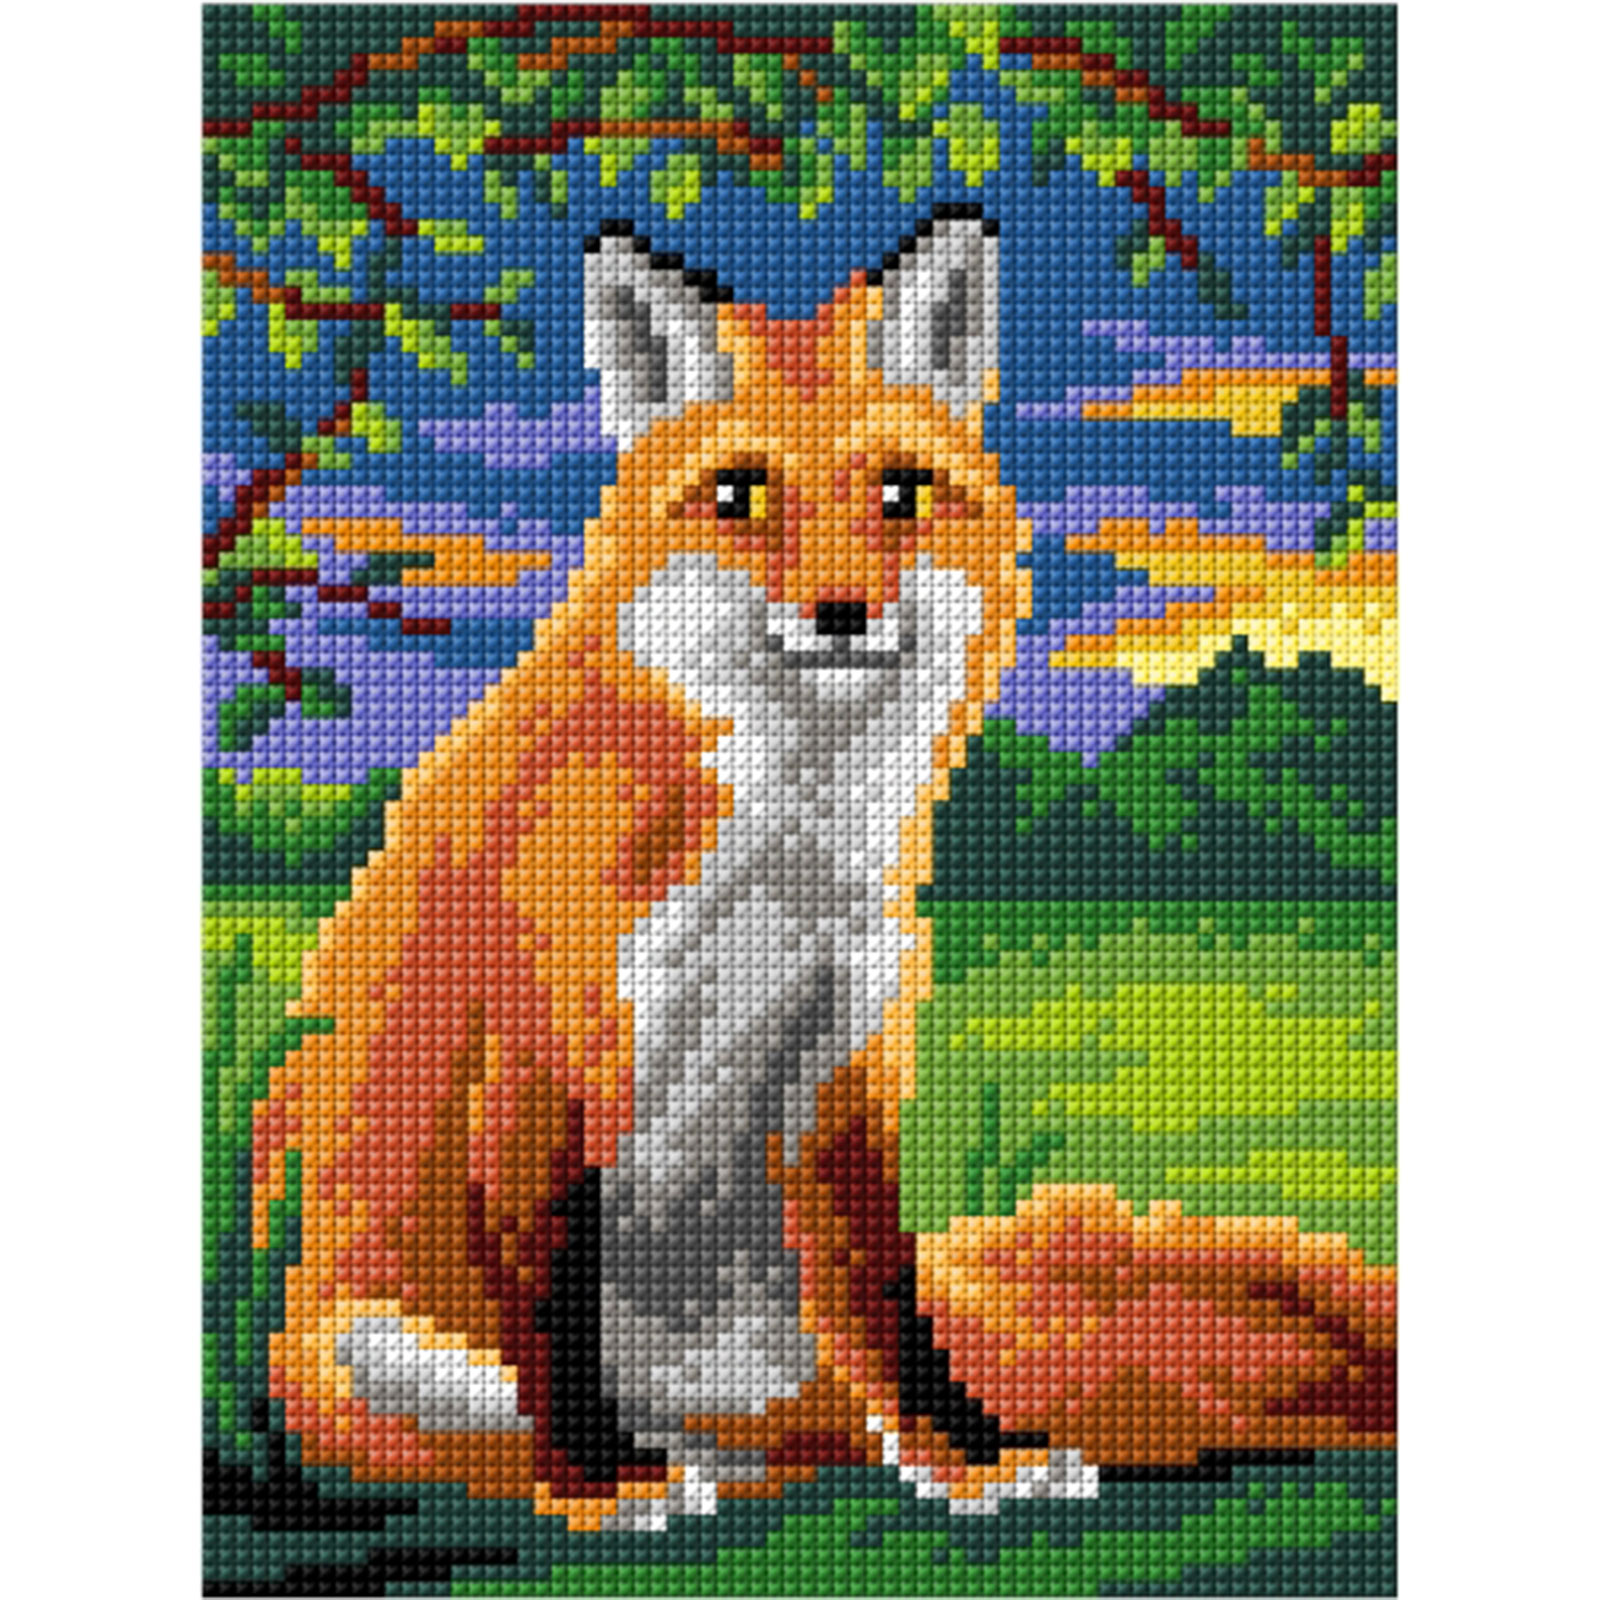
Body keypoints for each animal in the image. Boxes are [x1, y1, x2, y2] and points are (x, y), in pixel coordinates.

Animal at [250, 206, 1396, 1532]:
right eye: (740, 493)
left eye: (898, 490)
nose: (841, 611)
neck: (783, 851)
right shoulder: (543, 1065)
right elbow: (554, 1309)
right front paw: (596, 1478)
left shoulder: (838, 1071)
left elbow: (890, 1310)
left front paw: (969, 1455)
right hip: (374, 1348)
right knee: (472, 1427)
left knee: (820, 1413)